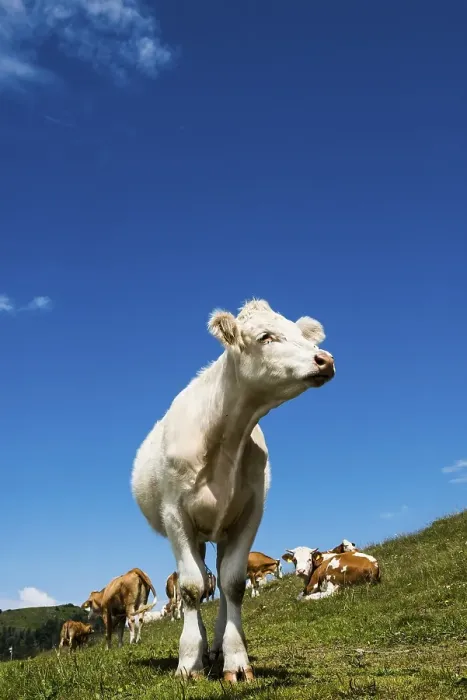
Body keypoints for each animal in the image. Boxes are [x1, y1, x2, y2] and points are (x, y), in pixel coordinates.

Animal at [131, 298, 335, 682]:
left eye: (304, 336)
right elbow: (192, 587)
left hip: (223, 531)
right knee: (197, 583)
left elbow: (234, 584)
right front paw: (188, 662)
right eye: (266, 336)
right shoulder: (176, 516)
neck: (225, 435)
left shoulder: (250, 513)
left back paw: (217, 648)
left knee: (222, 585)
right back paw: (203, 648)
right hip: (195, 534)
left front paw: (236, 659)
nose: (325, 359)